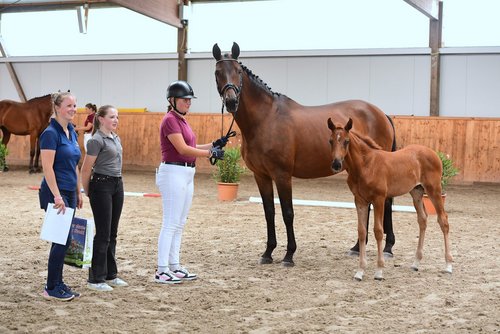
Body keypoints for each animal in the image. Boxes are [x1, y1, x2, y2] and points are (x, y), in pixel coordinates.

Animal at [213, 42, 396, 266]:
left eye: (238, 71)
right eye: (217, 72)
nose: (231, 102)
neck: (265, 119)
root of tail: (382, 114)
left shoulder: (282, 175)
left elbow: (287, 212)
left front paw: (289, 255)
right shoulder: (261, 176)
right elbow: (269, 212)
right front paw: (268, 253)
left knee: (385, 202)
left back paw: (387, 248)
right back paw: (356, 247)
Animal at [328, 117, 454, 280]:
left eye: (346, 141)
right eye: (331, 141)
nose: (336, 164)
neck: (366, 165)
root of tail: (433, 153)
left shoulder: (379, 199)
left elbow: (378, 231)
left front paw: (379, 271)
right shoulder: (360, 201)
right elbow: (362, 232)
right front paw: (360, 271)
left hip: (434, 190)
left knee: (443, 220)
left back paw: (448, 265)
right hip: (416, 192)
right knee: (422, 219)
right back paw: (416, 263)